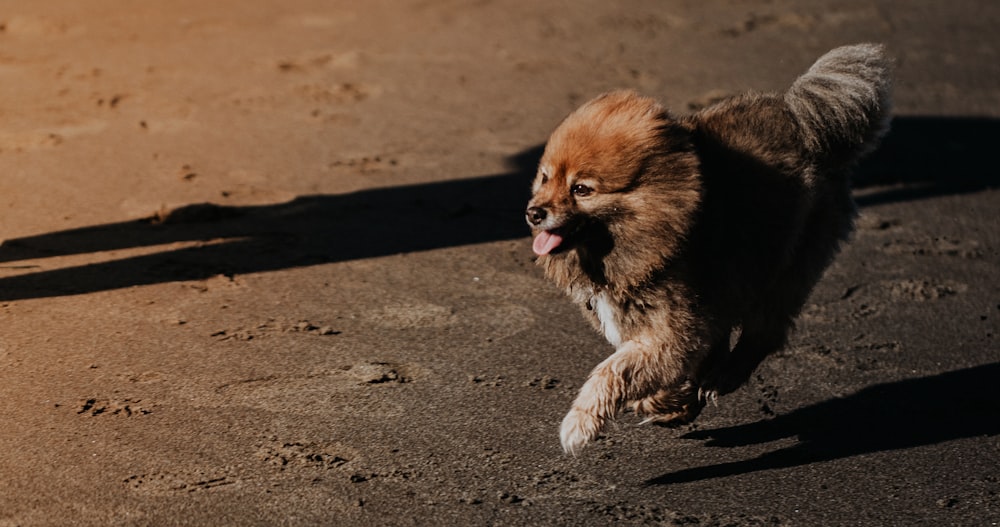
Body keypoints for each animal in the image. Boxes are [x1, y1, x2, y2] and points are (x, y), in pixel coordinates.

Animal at [528, 43, 896, 454]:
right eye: (545, 178)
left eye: (581, 189)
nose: (534, 213)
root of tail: (802, 121)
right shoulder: (660, 328)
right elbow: (648, 371)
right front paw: (666, 402)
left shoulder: (671, 333)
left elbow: (614, 371)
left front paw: (580, 423)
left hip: (783, 269)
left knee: (763, 333)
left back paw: (723, 377)